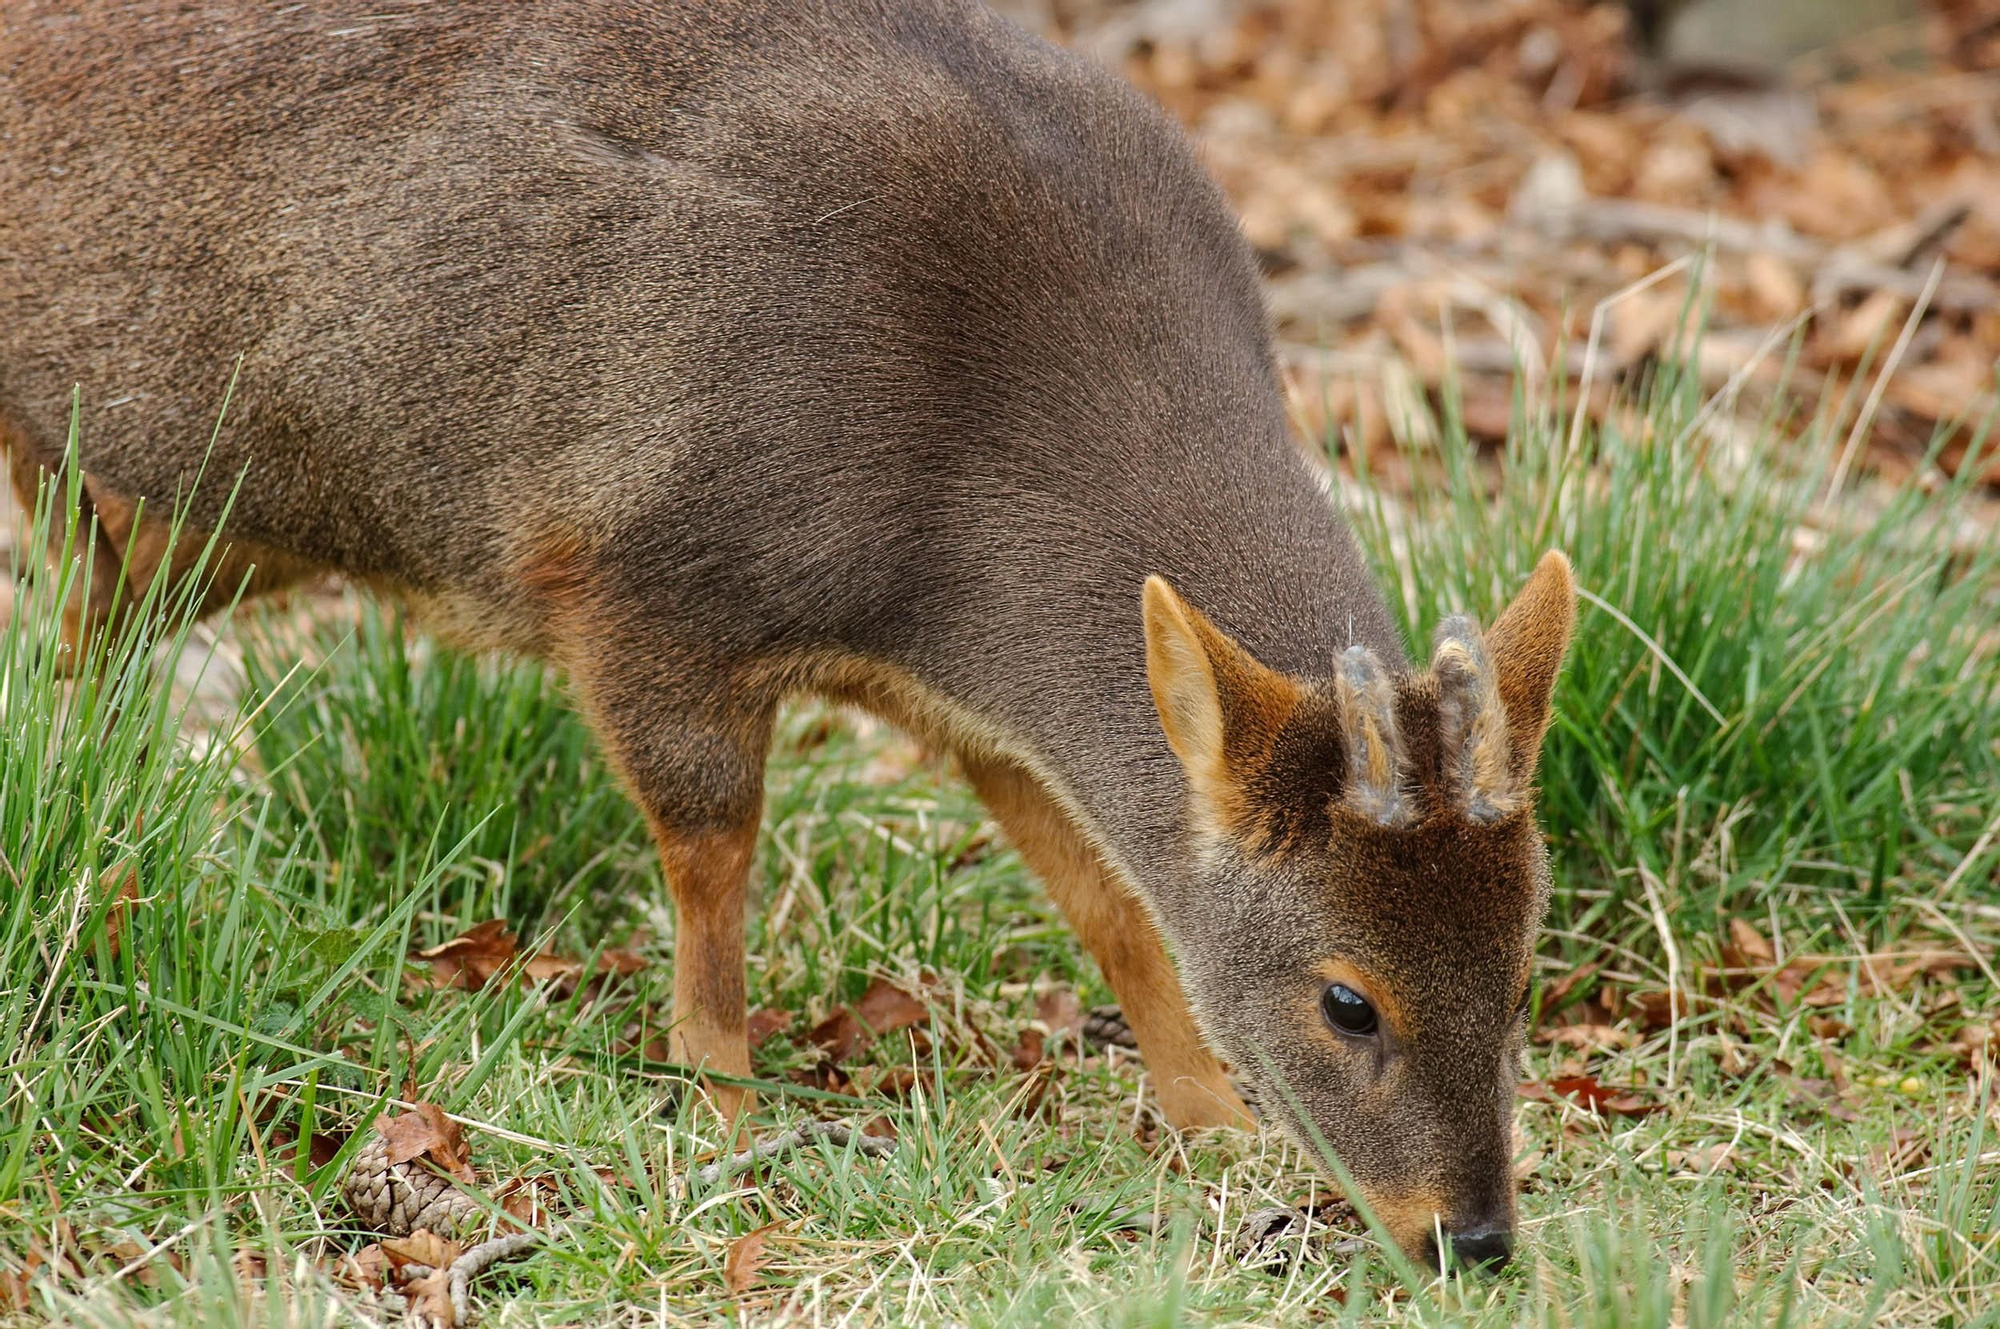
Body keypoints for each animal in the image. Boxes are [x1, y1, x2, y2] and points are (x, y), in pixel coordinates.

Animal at [0, 0, 1575, 1272]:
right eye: (1347, 1000)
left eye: (1522, 970)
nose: (1471, 1238)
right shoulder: (636, 587)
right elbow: (712, 865)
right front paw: (723, 1120)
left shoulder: (959, 690)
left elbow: (1105, 891)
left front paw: (1209, 1121)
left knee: (82, 647)